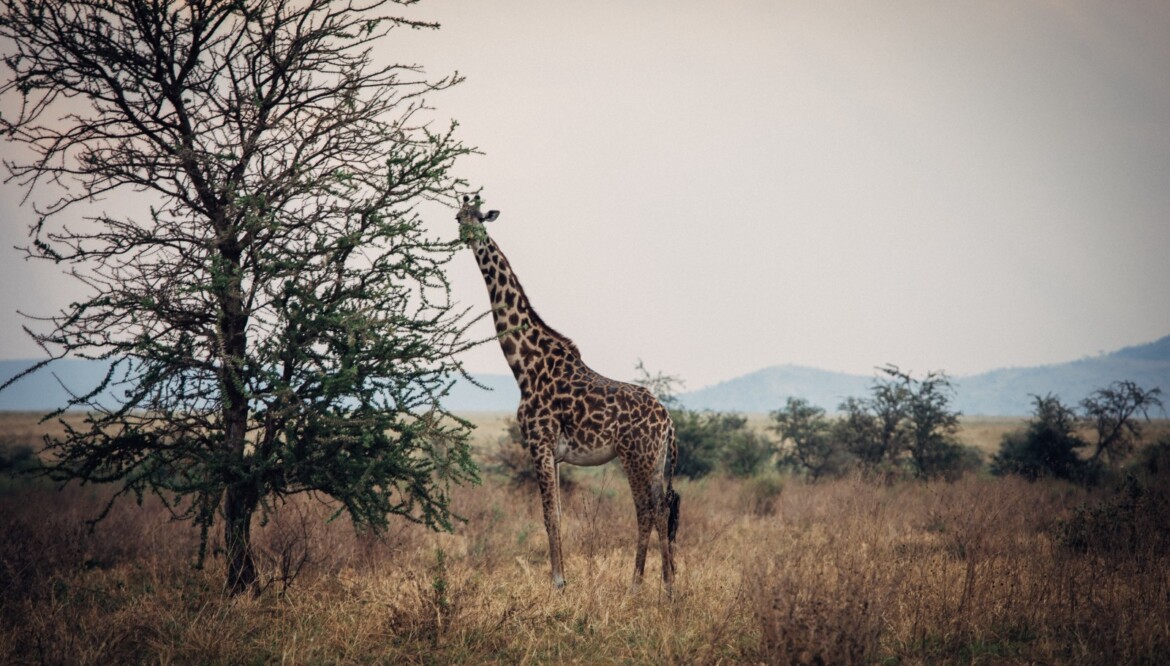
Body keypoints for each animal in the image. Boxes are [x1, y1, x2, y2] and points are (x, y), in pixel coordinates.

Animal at [453, 194, 683, 589]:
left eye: (479, 217)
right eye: (459, 216)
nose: (467, 235)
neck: (525, 366)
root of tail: (667, 421)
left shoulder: (539, 442)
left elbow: (549, 515)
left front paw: (557, 581)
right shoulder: (555, 453)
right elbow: (557, 513)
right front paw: (562, 579)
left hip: (635, 456)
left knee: (645, 511)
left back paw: (637, 583)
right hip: (655, 460)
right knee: (661, 508)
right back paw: (667, 584)